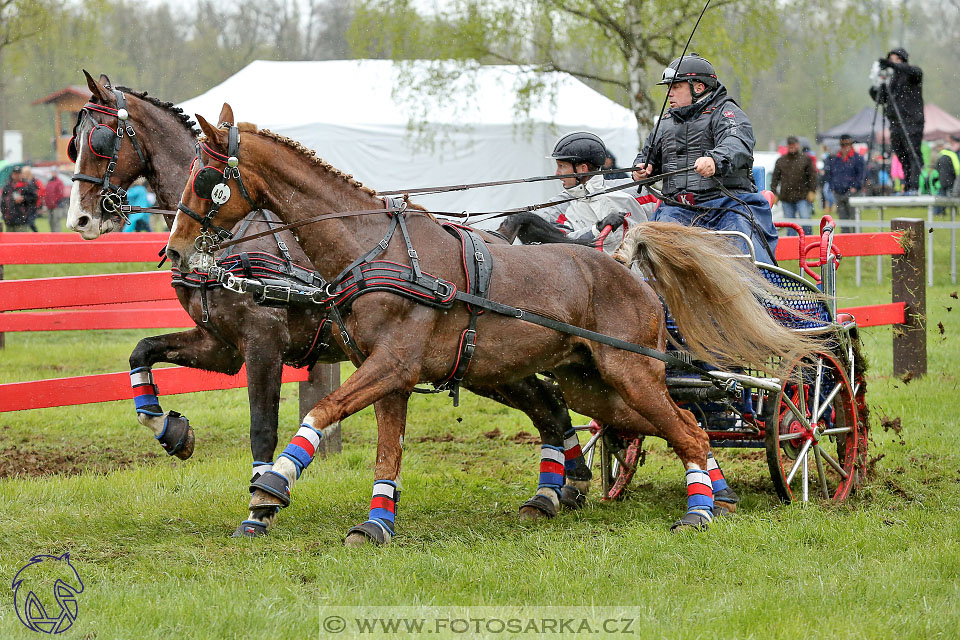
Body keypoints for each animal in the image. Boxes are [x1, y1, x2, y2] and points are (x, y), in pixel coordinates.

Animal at [65, 74, 584, 536]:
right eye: (74, 143)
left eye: (100, 140)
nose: (80, 219)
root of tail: (496, 242)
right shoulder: (222, 346)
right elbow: (143, 350)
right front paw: (169, 430)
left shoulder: (263, 343)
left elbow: (262, 427)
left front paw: (260, 506)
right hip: (480, 364)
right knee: (549, 402)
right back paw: (564, 485)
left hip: (481, 362)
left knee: (549, 400)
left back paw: (566, 483)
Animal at [163, 106, 816, 544]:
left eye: (205, 179)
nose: (175, 251)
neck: (376, 249)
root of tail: (627, 263)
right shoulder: (390, 376)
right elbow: (387, 452)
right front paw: (376, 524)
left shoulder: (389, 365)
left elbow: (320, 411)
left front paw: (270, 489)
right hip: (592, 383)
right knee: (669, 424)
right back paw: (705, 495)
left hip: (633, 373)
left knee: (691, 429)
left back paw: (704, 507)